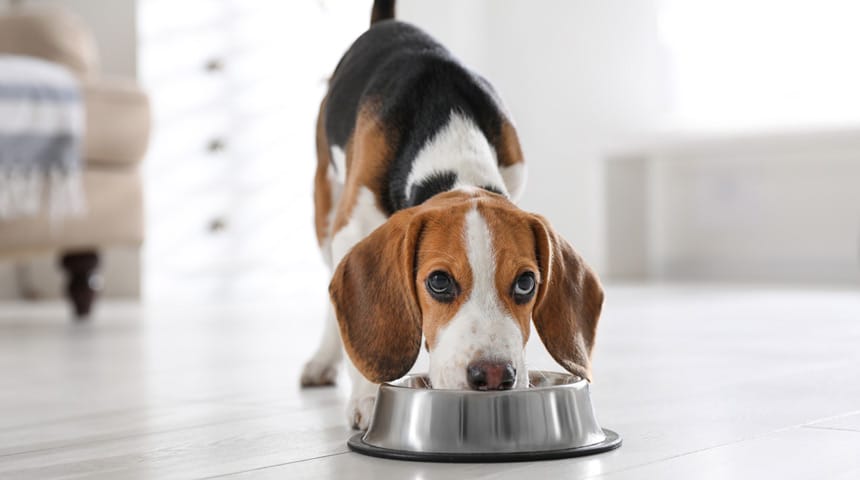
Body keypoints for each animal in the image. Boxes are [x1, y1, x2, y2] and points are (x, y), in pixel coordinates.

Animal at [302, 0, 604, 428]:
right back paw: (322, 360)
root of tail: (387, 23)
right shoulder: (353, 225)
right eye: (439, 282)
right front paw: (367, 398)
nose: (493, 375)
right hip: (325, 204)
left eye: (527, 283)